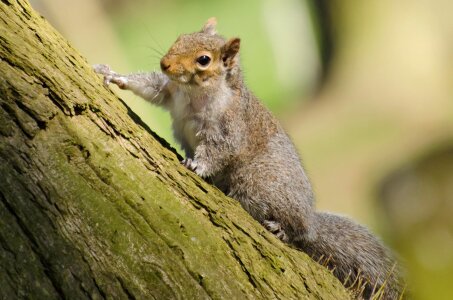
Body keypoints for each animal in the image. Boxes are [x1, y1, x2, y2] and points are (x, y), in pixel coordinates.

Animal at [94, 17, 402, 298]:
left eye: (204, 60)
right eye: (181, 37)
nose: (165, 64)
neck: (196, 92)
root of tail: (311, 219)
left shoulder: (229, 127)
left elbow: (218, 150)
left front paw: (197, 164)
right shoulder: (170, 91)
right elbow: (150, 87)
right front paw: (113, 75)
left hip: (259, 184)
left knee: (297, 230)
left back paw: (283, 229)